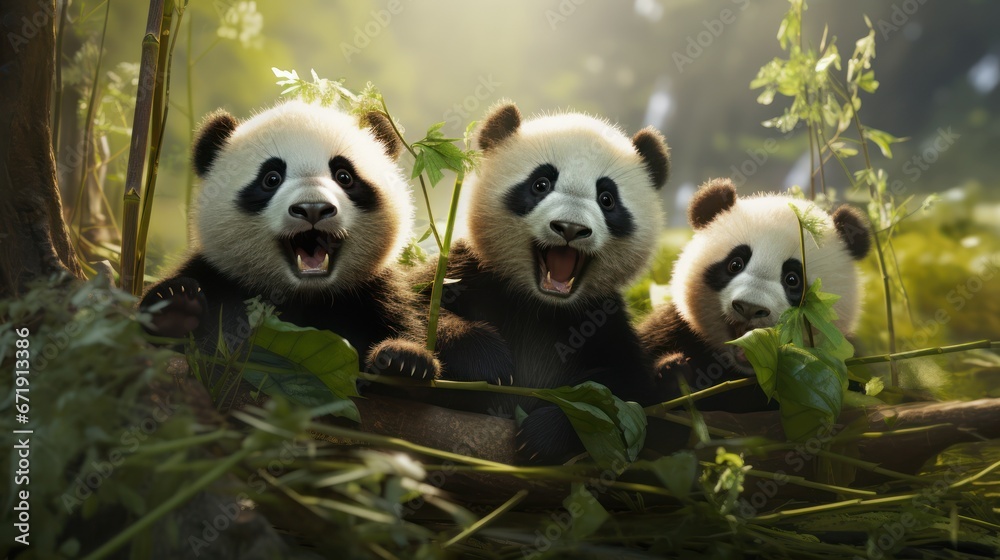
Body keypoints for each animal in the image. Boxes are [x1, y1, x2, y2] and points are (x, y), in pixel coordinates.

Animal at [140, 100, 438, 395]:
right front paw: (174, 307)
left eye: (344, 176)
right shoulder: (219, 276)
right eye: (271, 178)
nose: (313, 207)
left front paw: (404, 362)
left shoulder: (373, 294)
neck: (304, 294)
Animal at [404, 101, 671, 464]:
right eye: (541, 184)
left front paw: (543, 436)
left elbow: (628, 392)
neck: (540, 304)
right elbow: (412, 303)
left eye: (607, 198)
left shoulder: (602, 317)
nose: (570, 228)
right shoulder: (469, 271)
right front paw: (487, 362)